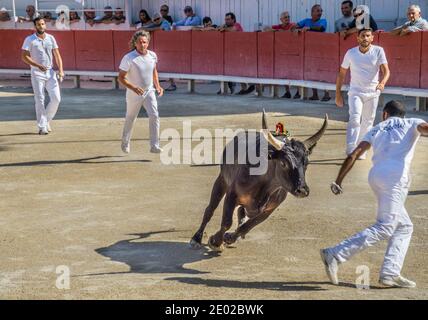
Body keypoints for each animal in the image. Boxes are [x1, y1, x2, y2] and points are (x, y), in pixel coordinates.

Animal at [190, 111, 328, 251]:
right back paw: (196, 238)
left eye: (306, 163)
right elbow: (227, 222)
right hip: (221, 180)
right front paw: (215, 241)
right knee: (210, 210)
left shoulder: (269, 209)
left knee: (241, 213)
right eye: (283, 163)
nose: (303, 190)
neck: (264, 186)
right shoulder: (231, 194)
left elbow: (248, 226)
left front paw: (229, 237)